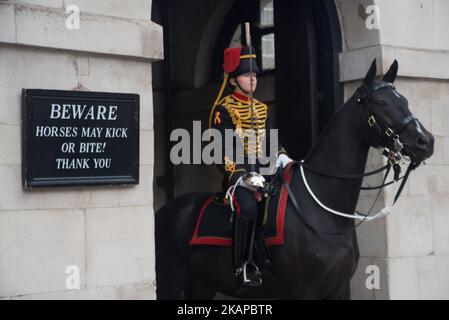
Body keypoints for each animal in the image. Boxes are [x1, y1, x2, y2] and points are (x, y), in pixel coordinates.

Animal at [155, 60, 434, 300]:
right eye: (380, 102)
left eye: (403, 100)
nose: (426, 141)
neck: (324, 209)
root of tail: (161, 212)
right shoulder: (303, 291)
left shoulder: (337, 289)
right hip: (170, 283)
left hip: (202, 285)